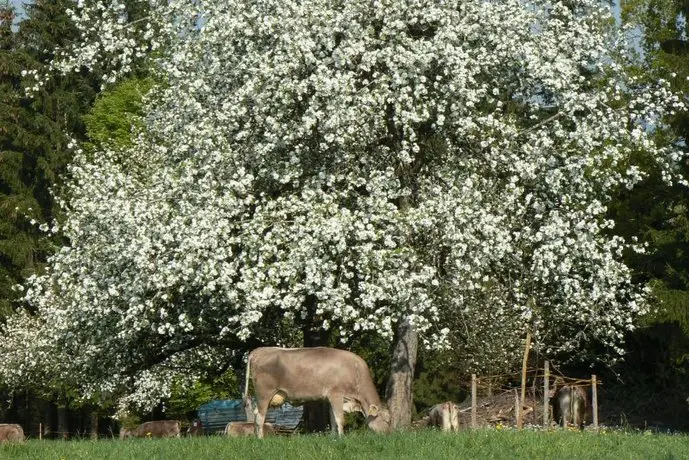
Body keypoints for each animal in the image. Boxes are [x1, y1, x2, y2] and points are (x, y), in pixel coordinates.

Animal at [245, 346, 390, 436]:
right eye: (387, 421)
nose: (389, 435)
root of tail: (261, 349)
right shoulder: (336, 394)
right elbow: (340, 419)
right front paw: (342, 437)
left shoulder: (331, 399)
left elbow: (332, 420)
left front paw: (334, 438)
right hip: (264, 394)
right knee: (260, 417)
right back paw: (261, 439)